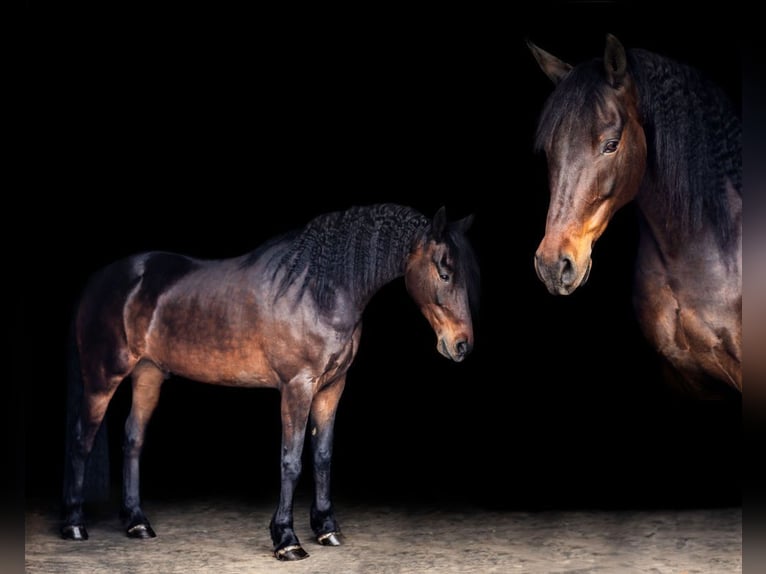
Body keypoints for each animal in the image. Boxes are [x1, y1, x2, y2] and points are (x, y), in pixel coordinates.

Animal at [61, 203, 479, 560]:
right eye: (444, 272)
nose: (461, 345)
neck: (317, 290)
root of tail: (100, 281)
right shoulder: (297, 387)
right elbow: (291, 461)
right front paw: (287, 540)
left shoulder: (332, 388)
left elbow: (323, 456)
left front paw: (326, 529)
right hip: (102, 377)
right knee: (81, 440)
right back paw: (74, 525)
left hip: (148, 374)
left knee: (133, 439)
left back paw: (137, 523)